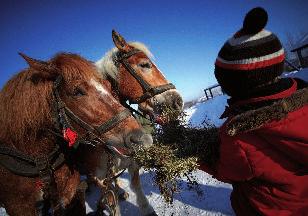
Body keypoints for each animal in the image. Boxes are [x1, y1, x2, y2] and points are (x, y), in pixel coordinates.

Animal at [94, 30, 183, 216]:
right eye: (145, 64)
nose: (178, 101)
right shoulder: (99, 178)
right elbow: (112, 202)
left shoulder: (132, 161)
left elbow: (135, 186)